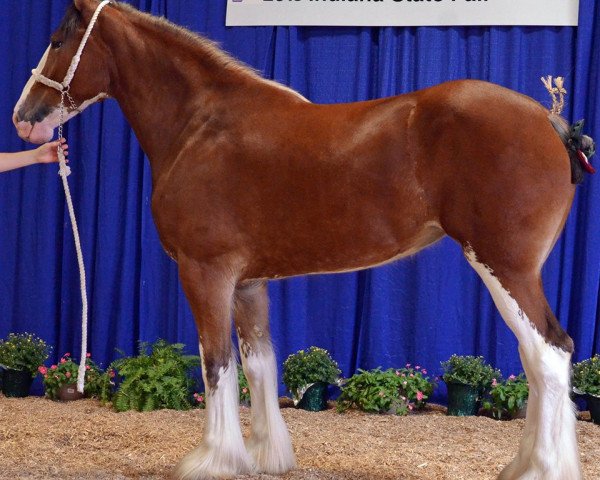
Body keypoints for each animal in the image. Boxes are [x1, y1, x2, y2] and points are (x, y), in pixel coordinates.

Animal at [11, 0, 592, 480]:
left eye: (58, 40)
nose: (23, 119)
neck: (199, 126)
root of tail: (552, 121)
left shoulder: (205, 272)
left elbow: (216, 362)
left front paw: (213, 460)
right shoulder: (247, 283)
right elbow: (259, 363)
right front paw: (266, 457)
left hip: (505, 267)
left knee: (548, 355)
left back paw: (539, 470)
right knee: (539, 359)